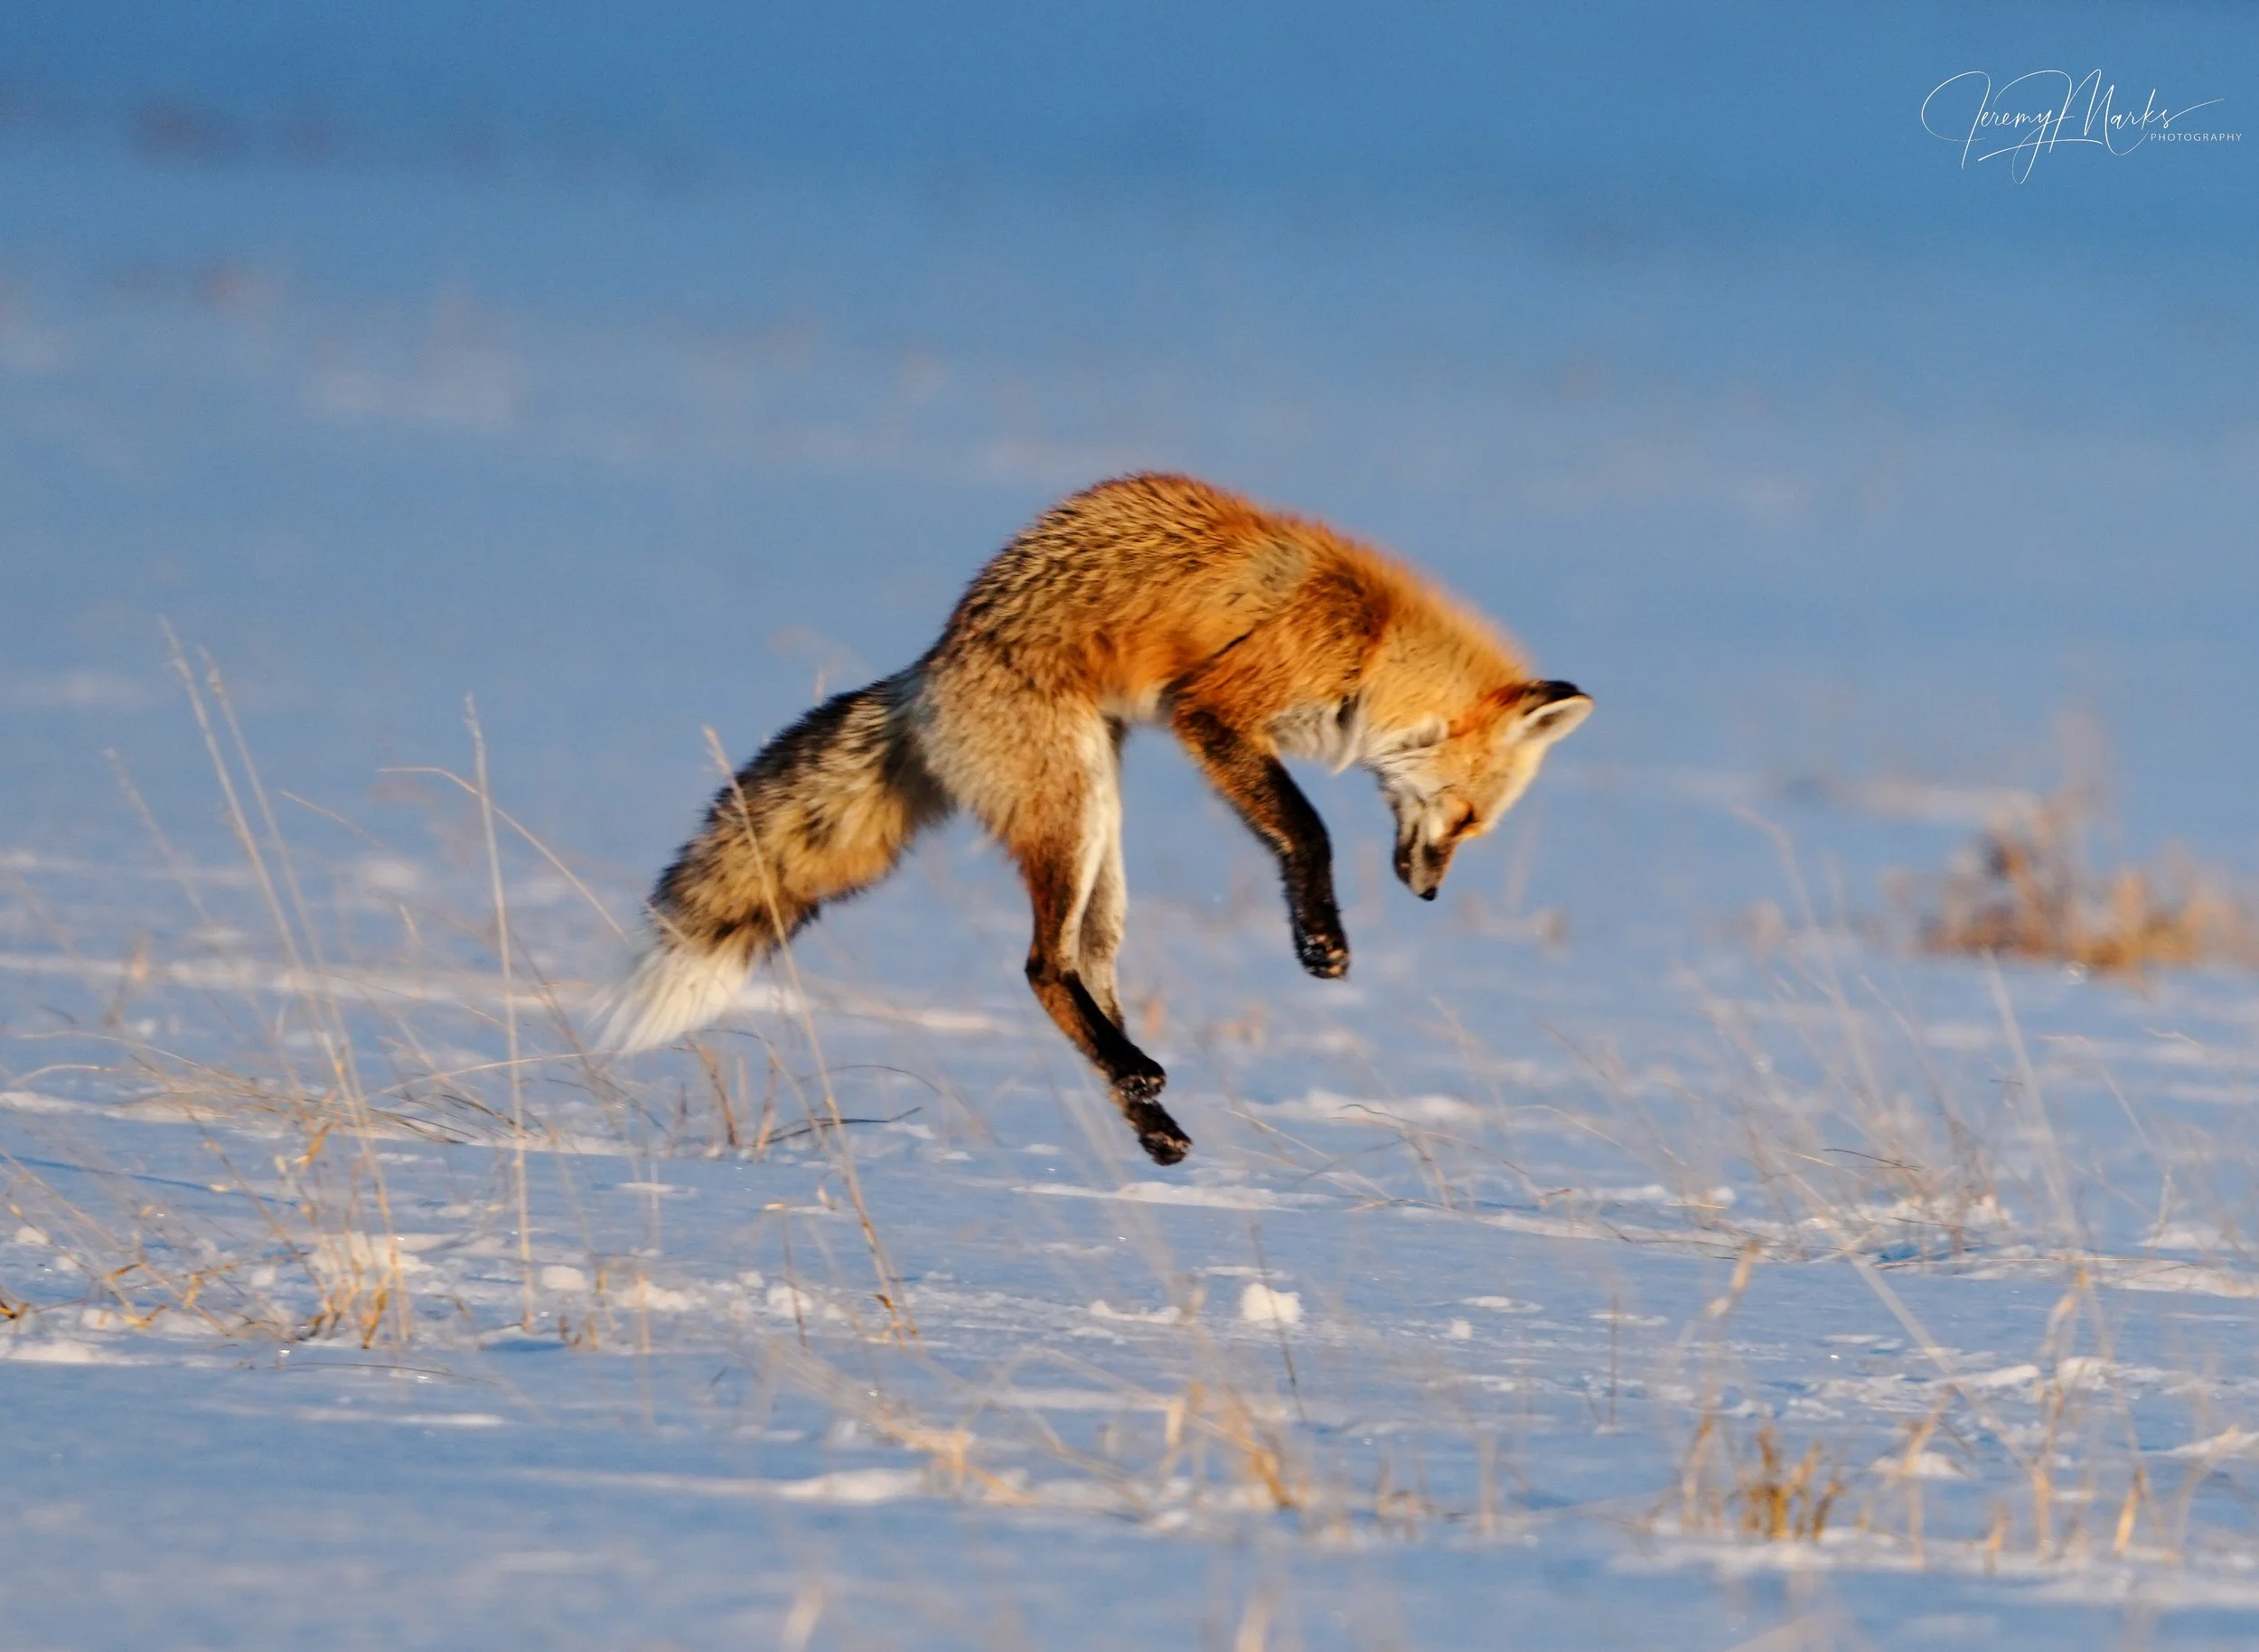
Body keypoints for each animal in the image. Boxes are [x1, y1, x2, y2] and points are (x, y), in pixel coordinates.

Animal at [601, 473, 1590, 1165]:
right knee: (1041, 966)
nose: (1426, 893)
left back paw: (1150, 1116)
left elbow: (1290, 834)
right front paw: (1321, 939)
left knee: (1085, 966)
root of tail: (930, 667)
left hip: (1101, 839)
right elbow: (1308, 828)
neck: (1373, 645)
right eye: (1467, 820)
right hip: (1070, 810)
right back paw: (1135, 1077)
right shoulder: (1214, 712)